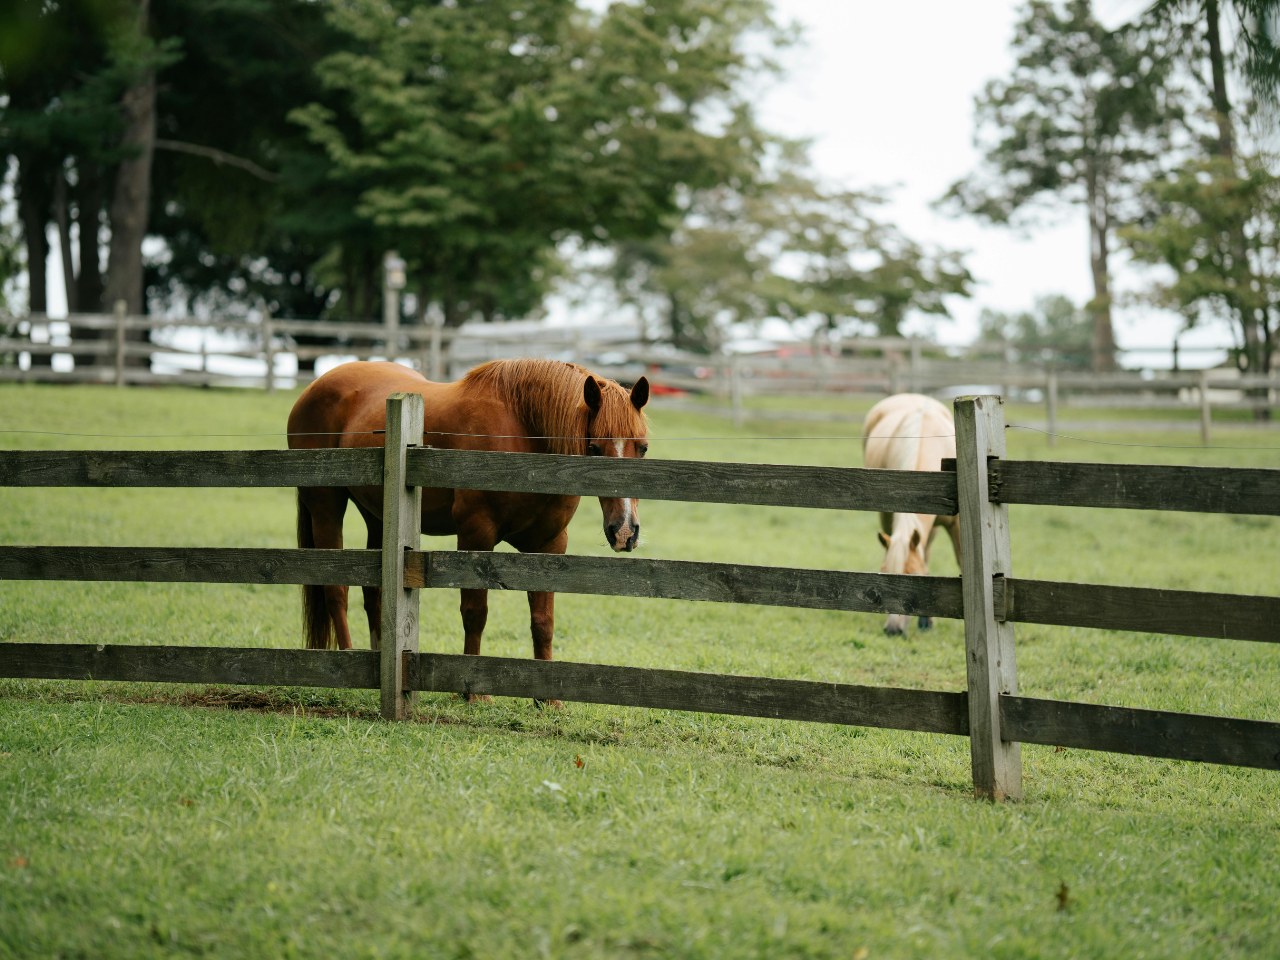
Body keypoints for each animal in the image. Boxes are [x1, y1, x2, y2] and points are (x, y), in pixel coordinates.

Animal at [287, 359, 650, 673]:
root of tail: (314, 387)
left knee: (372, 592)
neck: (524, 435)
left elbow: (543, 620)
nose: (624, 531)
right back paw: (346, 659)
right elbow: (475, 613)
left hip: (377, 516)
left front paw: (548, 699)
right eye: (594, 449)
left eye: (643, 448)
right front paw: (474, 692)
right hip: (326, 508)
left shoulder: (549, 544)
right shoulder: (476, 535)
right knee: (336, 590)